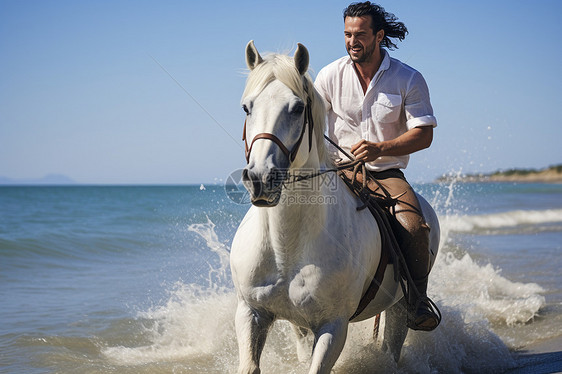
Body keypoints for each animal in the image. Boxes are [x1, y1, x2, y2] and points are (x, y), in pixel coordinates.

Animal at [229, 41, 438, 374]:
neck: (287, 243)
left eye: (297, 108)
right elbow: (250, 365)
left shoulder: (333, 326)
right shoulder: (251, 313)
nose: (260, 178)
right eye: (247, 108)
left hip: (399, 306)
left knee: (393, 344)